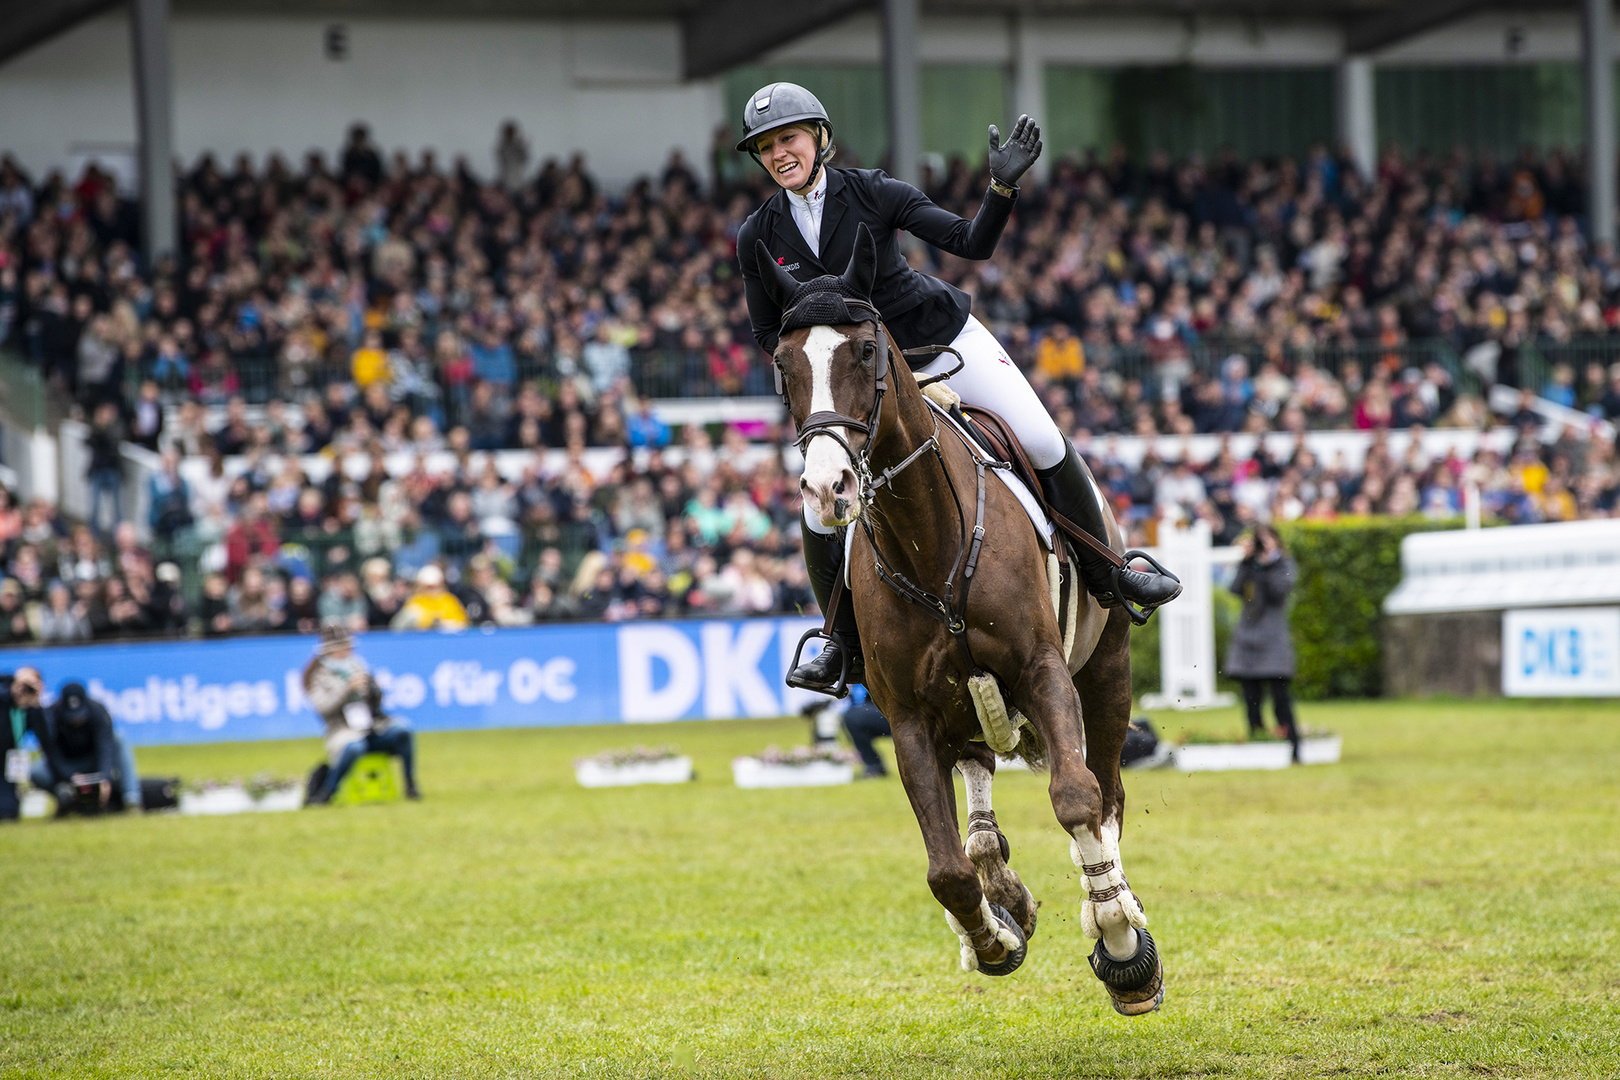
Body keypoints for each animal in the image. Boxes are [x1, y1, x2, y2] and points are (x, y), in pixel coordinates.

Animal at [758, 223, 1166, 1016]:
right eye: (783, 364)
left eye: (864, 350)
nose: (828, 489)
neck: (930, 536)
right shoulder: (909, 716)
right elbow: (944, 868)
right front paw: (994, 937)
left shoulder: (1043, 671)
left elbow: (1076, 799)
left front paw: (1122, 947)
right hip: (965, 706)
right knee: (978, 795)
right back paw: (1004, 889)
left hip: (1105, 674)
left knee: (1107, 794)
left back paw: (1118, 918)